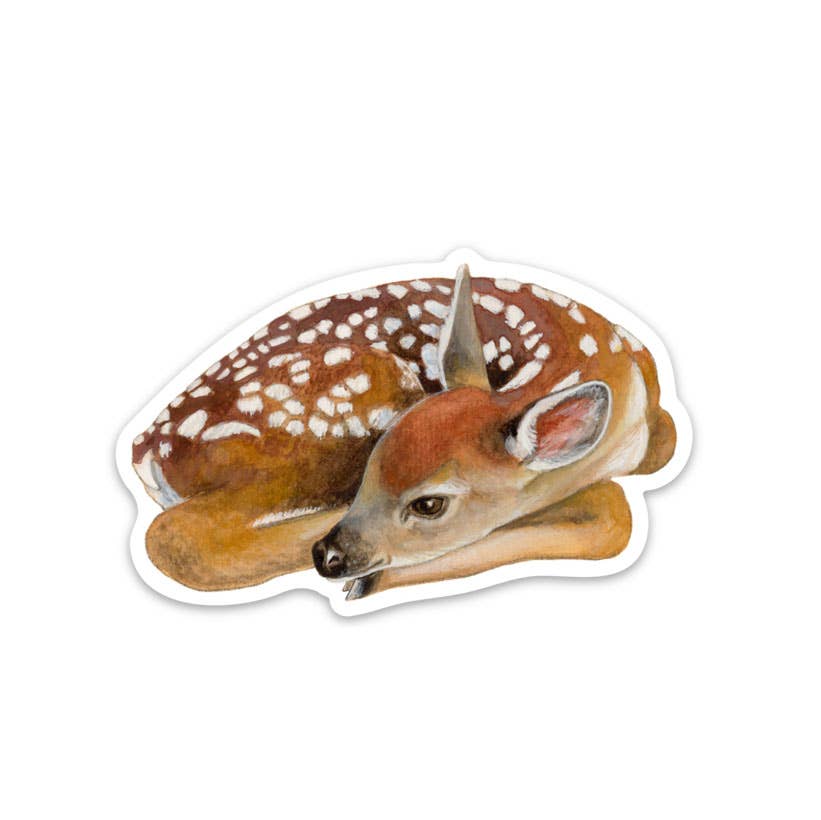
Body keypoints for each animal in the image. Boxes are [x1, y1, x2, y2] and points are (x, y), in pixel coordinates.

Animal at [132, 264, 676, 601]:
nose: (327, 557)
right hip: (349, 401)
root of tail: (148, 450)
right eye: (372, 465)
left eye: (429, 504)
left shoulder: (661, 427)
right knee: (179, 536)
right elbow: (615, 514)